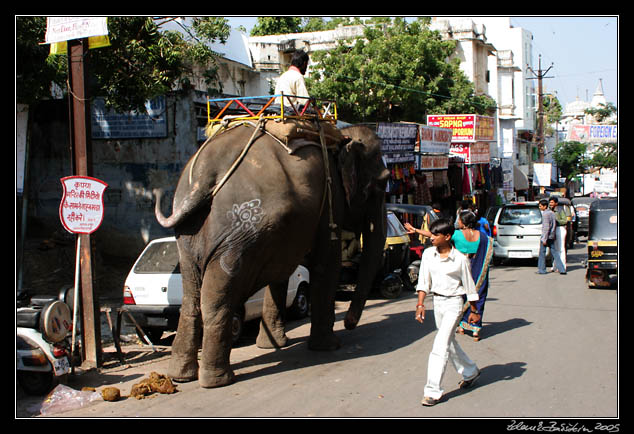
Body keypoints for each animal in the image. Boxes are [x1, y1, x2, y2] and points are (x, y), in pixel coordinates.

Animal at [154, 120, 390, 388]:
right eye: (383, 182)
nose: (349, 324)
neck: (339, 139)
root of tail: (202, 179)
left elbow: (282, 271)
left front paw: (273, 345)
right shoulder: (331, 202)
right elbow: (326, 263)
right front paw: (330, 346)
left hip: (189, 235)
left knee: (191, 295)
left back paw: (180, 376)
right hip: (242, 234)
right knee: (217, 296)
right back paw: (218, 380)